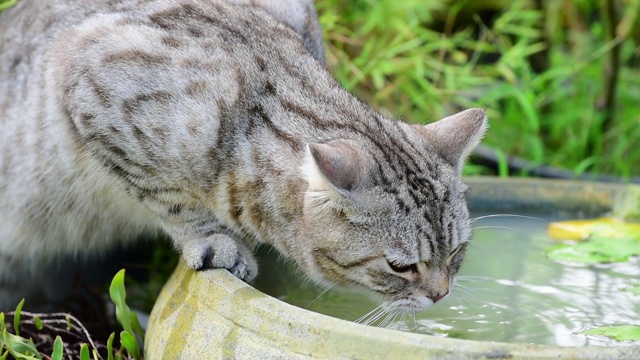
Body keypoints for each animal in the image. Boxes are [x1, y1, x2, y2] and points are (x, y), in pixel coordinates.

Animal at [0, 0, 488, 314]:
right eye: (400, 267)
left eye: (457, 251)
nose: (441, 294)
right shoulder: (89, 81)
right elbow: (168, 196)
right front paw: (215, 238)